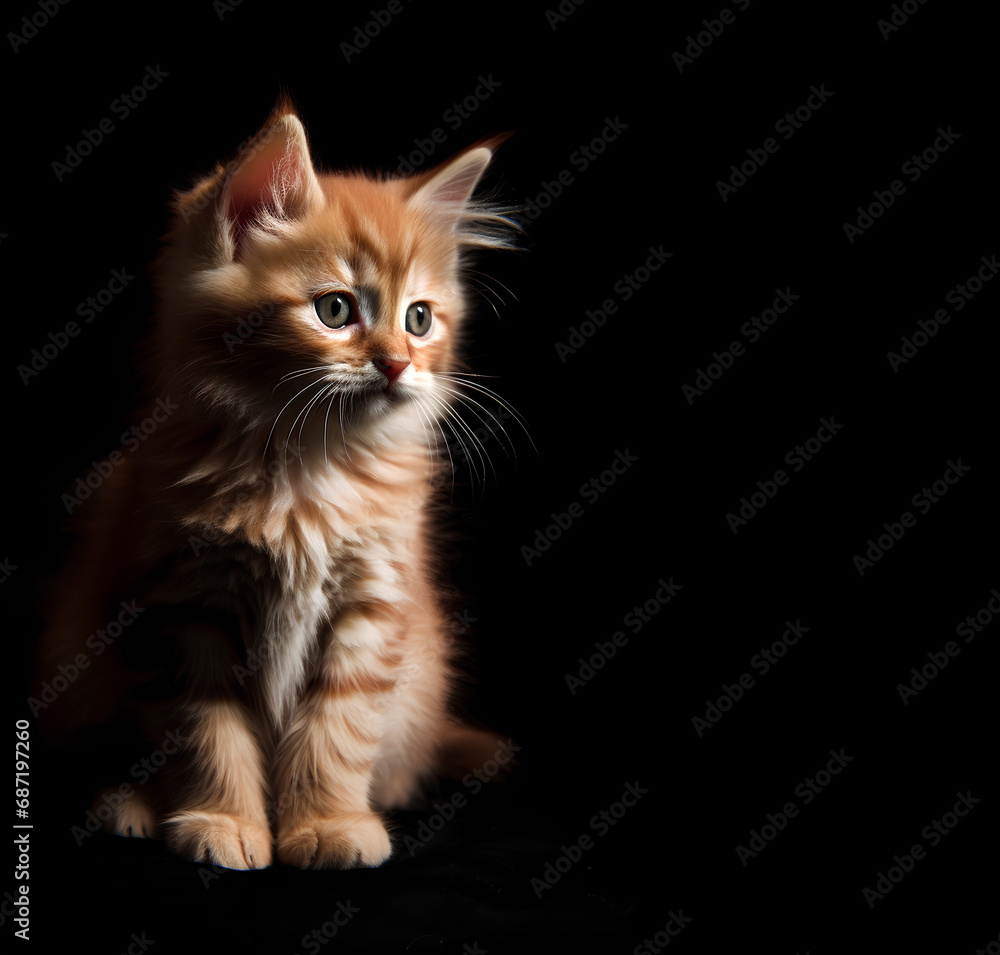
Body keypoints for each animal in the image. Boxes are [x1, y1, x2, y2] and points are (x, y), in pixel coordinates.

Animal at [35, 101, 520, 872]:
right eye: (335, 310)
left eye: (418, 318)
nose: (397, 364)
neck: (307, 473)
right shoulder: (185, 607)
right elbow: (207, 734)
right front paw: (222, 820)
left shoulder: (371, 607)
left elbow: (338, 731)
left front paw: (328, 824)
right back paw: (131, 803)